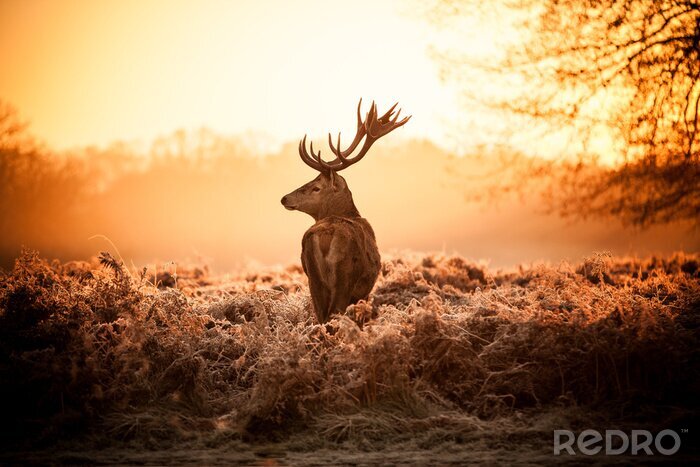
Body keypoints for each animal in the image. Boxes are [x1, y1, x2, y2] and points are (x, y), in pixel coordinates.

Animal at [281, 99, 410, 323]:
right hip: (345, 278)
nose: (284, 198)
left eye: (316, 187)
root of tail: (325, 236)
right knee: (334, 315)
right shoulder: (364, 291)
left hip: (313, 280)